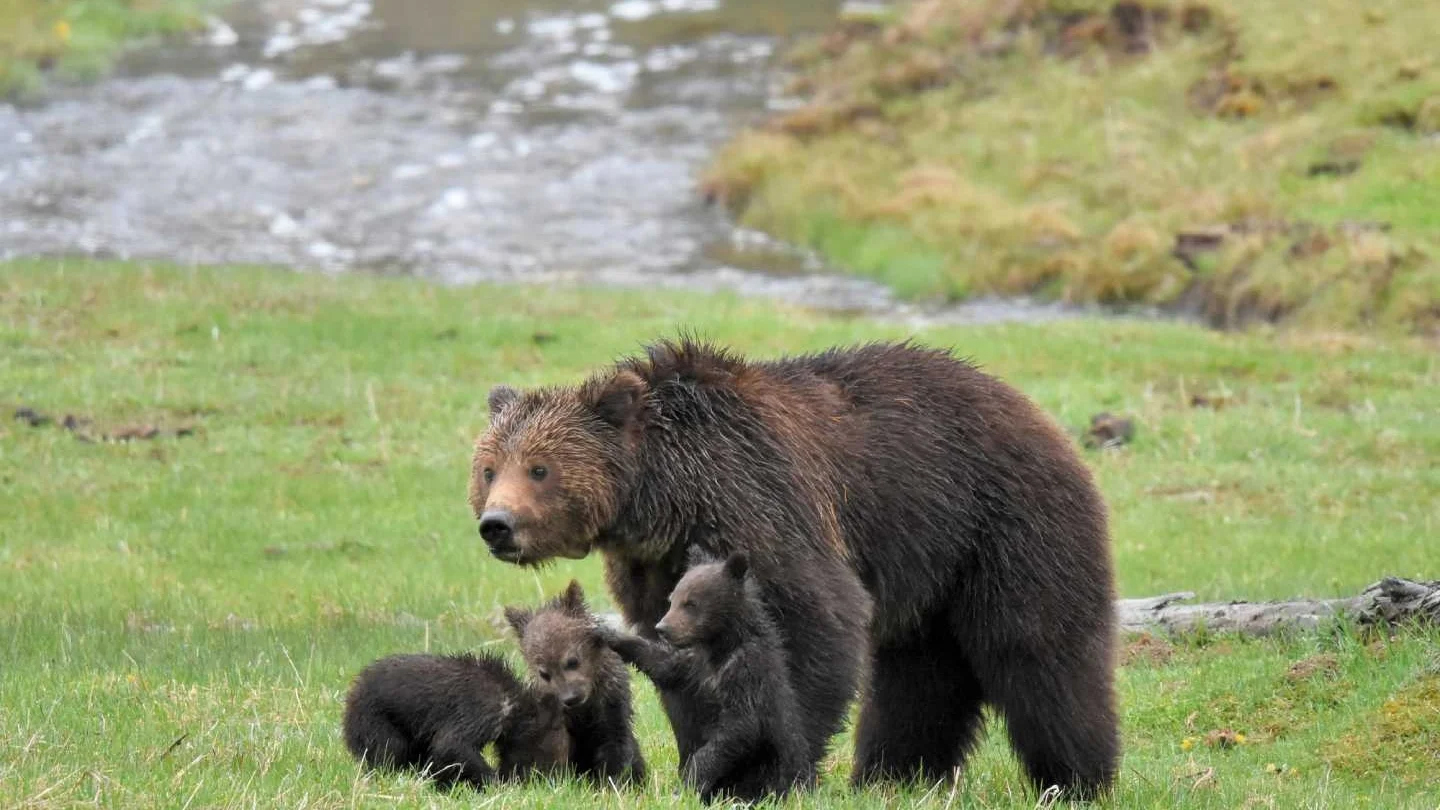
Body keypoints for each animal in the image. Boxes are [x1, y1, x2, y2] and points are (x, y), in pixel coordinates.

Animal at [466, 335, 1117, 795]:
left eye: (540, 468)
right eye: (490, 468)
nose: (497, 524)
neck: (664, 493)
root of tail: (1037, 414)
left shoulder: (755, 499)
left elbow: (814, 620)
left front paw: (767, 774)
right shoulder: (655, 564)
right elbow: (679, 656)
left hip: (1005, 523)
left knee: (1038, 651)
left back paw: (1077, 777)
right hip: (932, 567)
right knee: (918, 673)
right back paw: (895, 774)